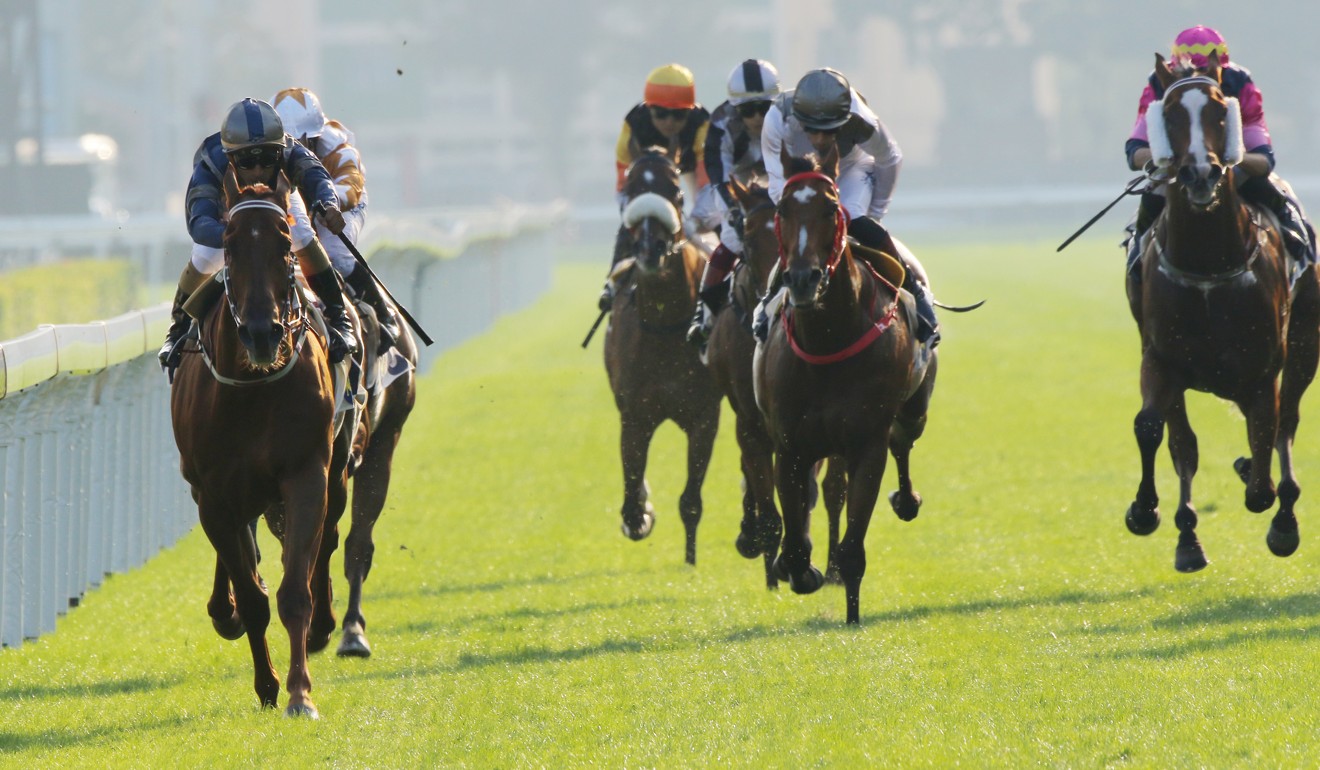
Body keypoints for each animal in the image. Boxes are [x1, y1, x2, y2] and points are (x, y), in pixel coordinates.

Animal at [170, 171, 356, 718]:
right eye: (231, 246)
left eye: (284, 245)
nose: (260, 332)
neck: (253, 386)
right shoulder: (214, 494)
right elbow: (253, 597)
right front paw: (268, 684)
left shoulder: (306, 475)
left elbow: (295, 590)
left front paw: (300, 692)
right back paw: (224, 609)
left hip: (334, 471)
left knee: (325, 542)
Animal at [601, 151, 718, 560]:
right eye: (630, 192)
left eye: (676, 193)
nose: (651, 250)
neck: (666, 326)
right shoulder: (635, 414)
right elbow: (632, 493)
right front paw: (641, 513)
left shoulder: (704, 416)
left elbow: (691, 501)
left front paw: (691, 561)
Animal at [755, 151, 939, 626]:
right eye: (783, 210)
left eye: (829, 209)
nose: (803, 279)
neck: (828, 339)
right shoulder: (789, 445)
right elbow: (796, 542)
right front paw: (801, 571)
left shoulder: (865, 443)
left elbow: (853, 546)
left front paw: (852, 615)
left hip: (915, 410)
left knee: (903, 442)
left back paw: (907, 499)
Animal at [1124, 52, 1320, 573]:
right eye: (1170, 113)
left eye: (1218, 111)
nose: (1200, 174)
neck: (1209, 265)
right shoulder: (1161, 358)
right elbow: (1158, 432)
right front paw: (1148, 513)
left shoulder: (1262, 369)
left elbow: (1263, 472)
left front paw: (1269, 498)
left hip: (1304, 343)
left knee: (1285, 424)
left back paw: (1283, 519)